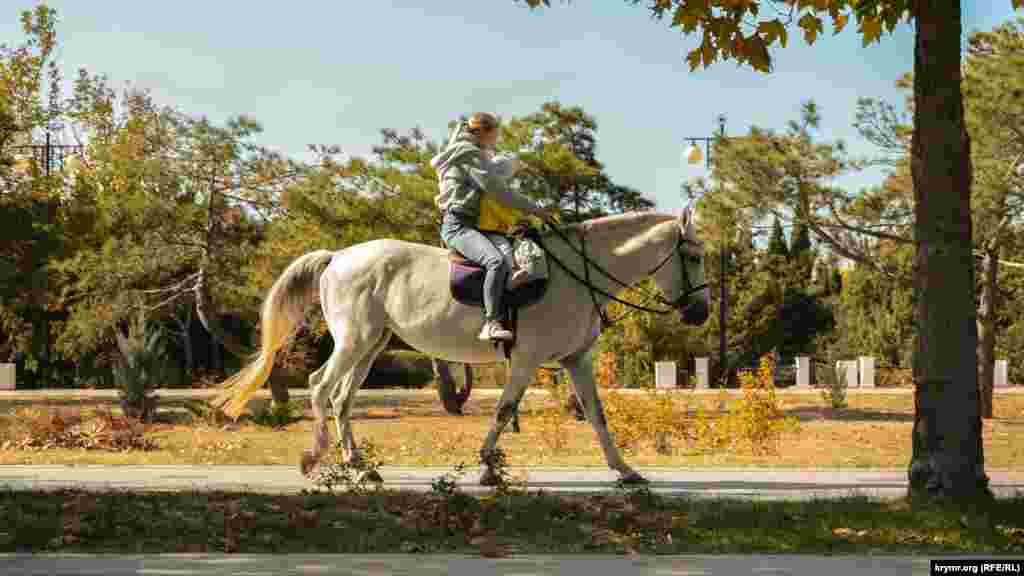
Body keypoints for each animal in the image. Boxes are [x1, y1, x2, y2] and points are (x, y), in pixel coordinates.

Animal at [211, 207, 708, 483]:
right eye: (694, 255)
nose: (700, 313)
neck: (575, 274)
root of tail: (338, 257)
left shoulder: (576, 361)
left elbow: (597, 415)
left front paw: (625, 471)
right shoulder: (526, 360)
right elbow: (504, 411)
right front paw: (488, 466)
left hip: (371, 346)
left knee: (342, 398)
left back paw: (359, 465)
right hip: (354, 340)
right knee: (319, 386)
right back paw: (314, 457)